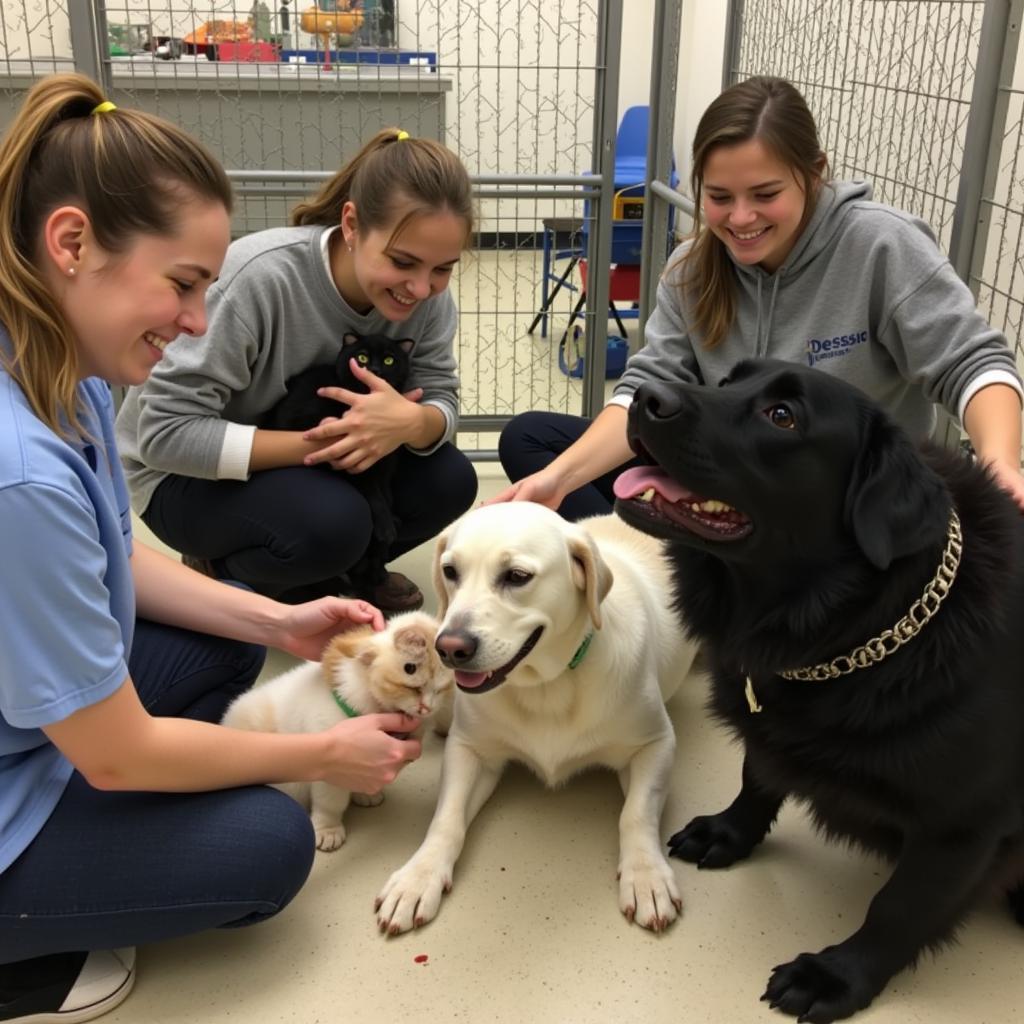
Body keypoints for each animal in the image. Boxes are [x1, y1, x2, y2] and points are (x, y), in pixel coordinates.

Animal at [262, 331, 417, 598]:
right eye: (362, 357)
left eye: (389, 360)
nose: (374, 369)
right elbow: (371, 491)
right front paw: (385, 527)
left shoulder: (385, 462)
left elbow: (385, 494)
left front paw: (384, 544)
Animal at [376, 503, 704, 937]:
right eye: (450, 571)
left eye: (517, 576)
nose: (449, 648)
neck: (547, 685)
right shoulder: (470, 750)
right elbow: (446, 818)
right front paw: (418, 877)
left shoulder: (655, 744)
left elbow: (635, 813)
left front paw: (647, 876)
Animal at [614, 358, 1024, 1015]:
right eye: (727, 381)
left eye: (782, 416)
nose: (644, 395)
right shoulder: (771, 722)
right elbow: (757, 777)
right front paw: (729, 833)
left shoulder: (966, 822)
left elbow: (900, 907)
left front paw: (836, 975)